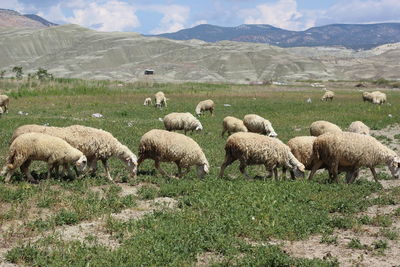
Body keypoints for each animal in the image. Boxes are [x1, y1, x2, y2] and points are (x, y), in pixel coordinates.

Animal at [10, 124, 138, 183]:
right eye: (134, 164)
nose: (134, 176)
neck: (112, 145)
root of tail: (15, 132)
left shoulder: (96, 156)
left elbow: (105, 168)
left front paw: (110, 179)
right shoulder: (96, 155)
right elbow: (93, 168)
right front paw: (80, 176)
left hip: (26, 155)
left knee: (23, 167)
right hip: (24, 154)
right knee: (23, 167)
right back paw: (32, 179)